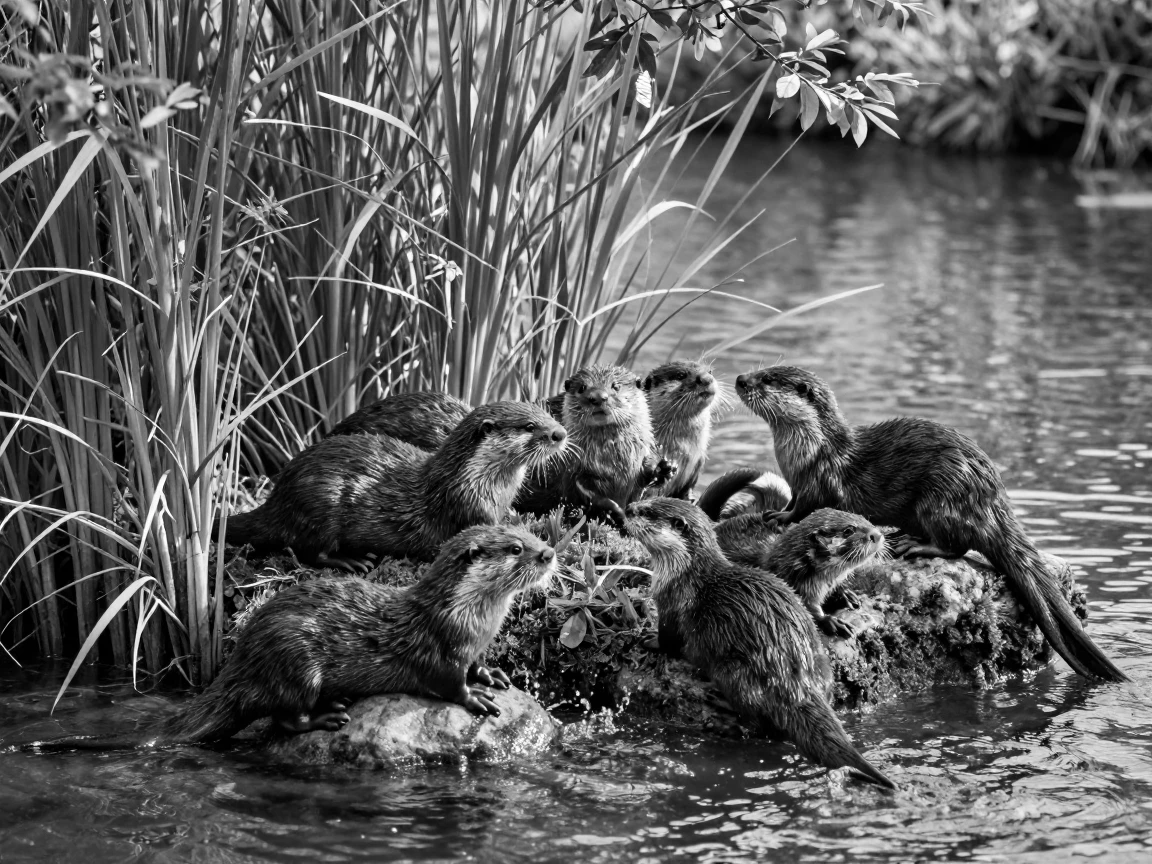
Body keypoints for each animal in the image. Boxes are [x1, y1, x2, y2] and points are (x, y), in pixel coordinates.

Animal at [19, 526, 556, 752]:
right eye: (516, 548)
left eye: (531, 533)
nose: (550, 553)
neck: (467, 617)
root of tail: (238, 665)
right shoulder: (437, 650)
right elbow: (447, 683)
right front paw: (477, 698)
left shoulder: (471, 644)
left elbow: (476, 665)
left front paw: (494, 673)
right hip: (295, 658)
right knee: (283, 717)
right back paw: (327, 715)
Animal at [218, 401, 567, 571]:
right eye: (530, 426)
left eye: (547, 414)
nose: (560, 433)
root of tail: (276, 498)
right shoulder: (468, 505)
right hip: (320, 502)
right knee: (309, 551)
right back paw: (352, 560)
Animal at [515, 364, 674, 524]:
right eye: (582, 387)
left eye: (616, 386)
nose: (597, 397)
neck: (611, 461)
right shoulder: (569, 465)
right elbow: (577, 487)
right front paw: (610, 509)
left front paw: (663, 469)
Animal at [623, 497, 894, 789]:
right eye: (644, 503)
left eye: (646, 511)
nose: (627, 508)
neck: (682, 572)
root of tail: (797, 685)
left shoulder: (672, 604)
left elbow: (669, 641)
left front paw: (648, 640)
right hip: (822, 663)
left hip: (735, 673)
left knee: (761, 727)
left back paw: (721, 718)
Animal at [735, 364, 1128, 683]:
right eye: (759, 370)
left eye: (767, 378)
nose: (740, 379)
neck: (805, 452)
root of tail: (992, 499)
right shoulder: (800, 485)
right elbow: (794, 506)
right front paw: (779, 515)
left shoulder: (820, 482)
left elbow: (807, 510)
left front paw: (782, 519)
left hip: (941, 497)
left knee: (958, 544)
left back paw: (914, 544)